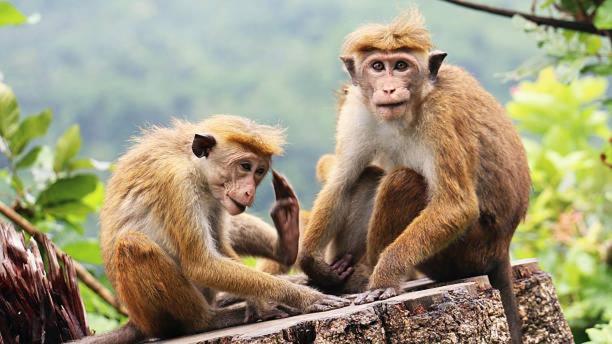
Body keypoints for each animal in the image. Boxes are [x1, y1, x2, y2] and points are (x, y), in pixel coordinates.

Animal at [83, 116, 346, 344]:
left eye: (259, 171)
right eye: (245, 166)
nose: (249, 191)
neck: (192, 164)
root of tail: (135, 320)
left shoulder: (218, 197)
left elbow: (220, 246)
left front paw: (262, 304)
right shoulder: (177, 183)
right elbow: (201, 263)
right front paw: (304, 298)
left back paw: (286, 245)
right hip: (153, 316)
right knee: (132, 243)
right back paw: (208, 320)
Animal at [302, 10, 532, 344]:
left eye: (401, 66)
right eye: (377, 66)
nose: (388, 88)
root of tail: (503, 246)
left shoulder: (441, 117)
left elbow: (455, 205)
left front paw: (384, 278)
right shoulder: (358, 108)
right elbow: (341, 181)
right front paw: (313, 264)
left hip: (465, 252)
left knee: (403, 181)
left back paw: (365, 276)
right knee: (368, 175)